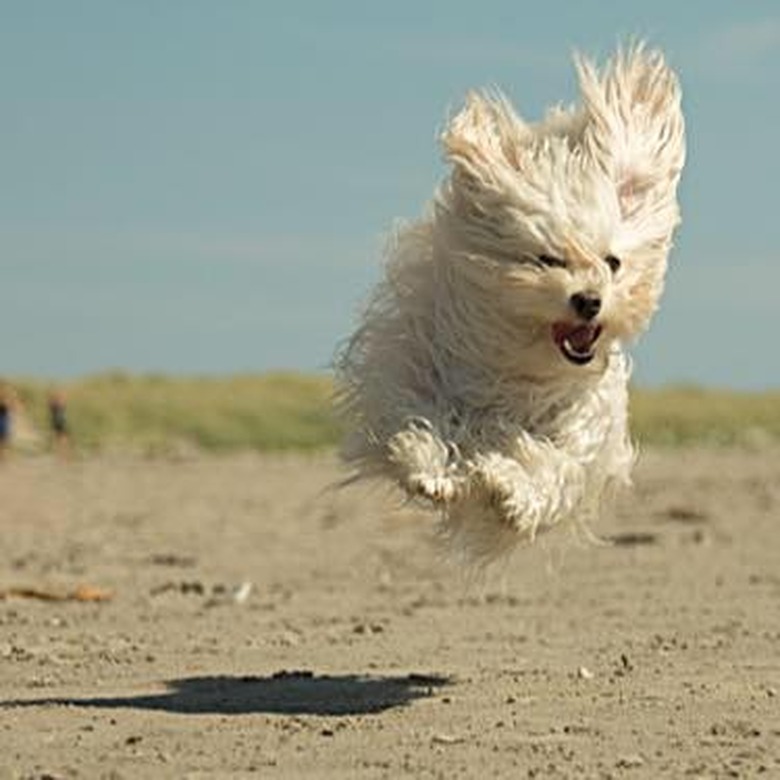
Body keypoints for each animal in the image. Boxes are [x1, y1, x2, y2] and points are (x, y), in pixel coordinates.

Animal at [334, 45, 684, 564]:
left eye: (612, 262)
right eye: (548, 258)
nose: (589, 301)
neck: (522, 367)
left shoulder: (576, 431)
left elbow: (550, 467)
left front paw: (507, 489)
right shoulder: (427, 372)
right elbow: (426, 422)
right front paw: (432, 469)